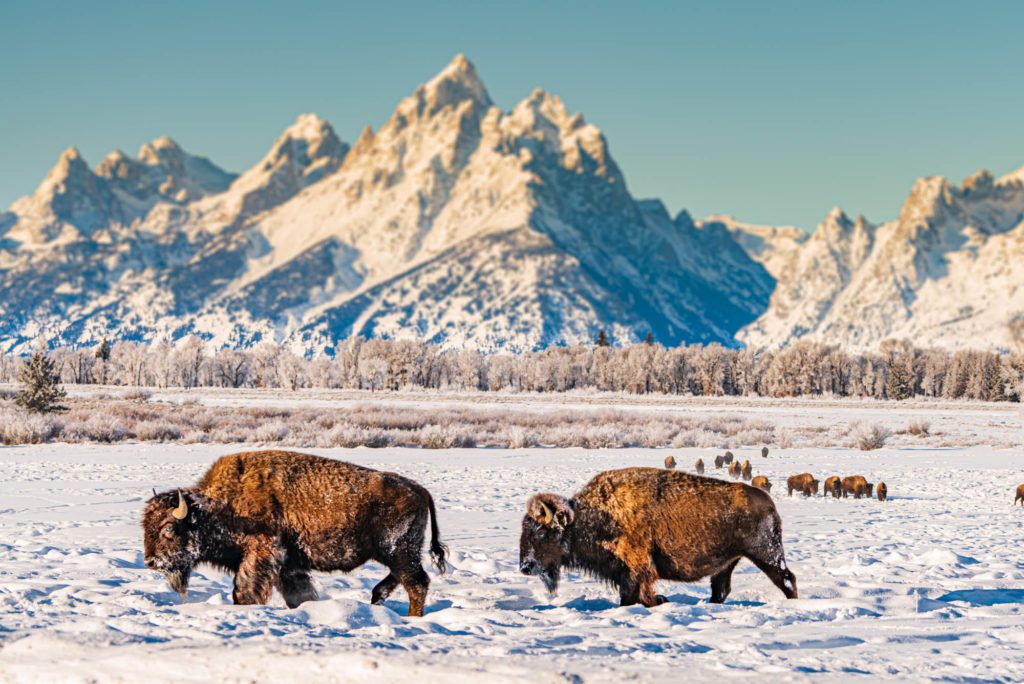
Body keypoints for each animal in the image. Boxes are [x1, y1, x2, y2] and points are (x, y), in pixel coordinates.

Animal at [143, 450, 447, 617]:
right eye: (145, 526)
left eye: (169, 528)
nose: (151, 561)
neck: (219, 506)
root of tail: (419, 489)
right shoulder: (289, 566)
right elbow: (299, 594)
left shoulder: (261, 555)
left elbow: (244, 589)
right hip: (395, 555)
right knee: (394, 582)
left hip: (399, 551)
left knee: (417, 583)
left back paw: (412, 618)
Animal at [519, 468, 798, 606]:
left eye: (541, 532)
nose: (525, 566)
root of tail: (768, 502)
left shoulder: (636, 567)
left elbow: (634, 593)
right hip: (728, 563)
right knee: (721, 589)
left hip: (766, 554)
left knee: (786, 579)